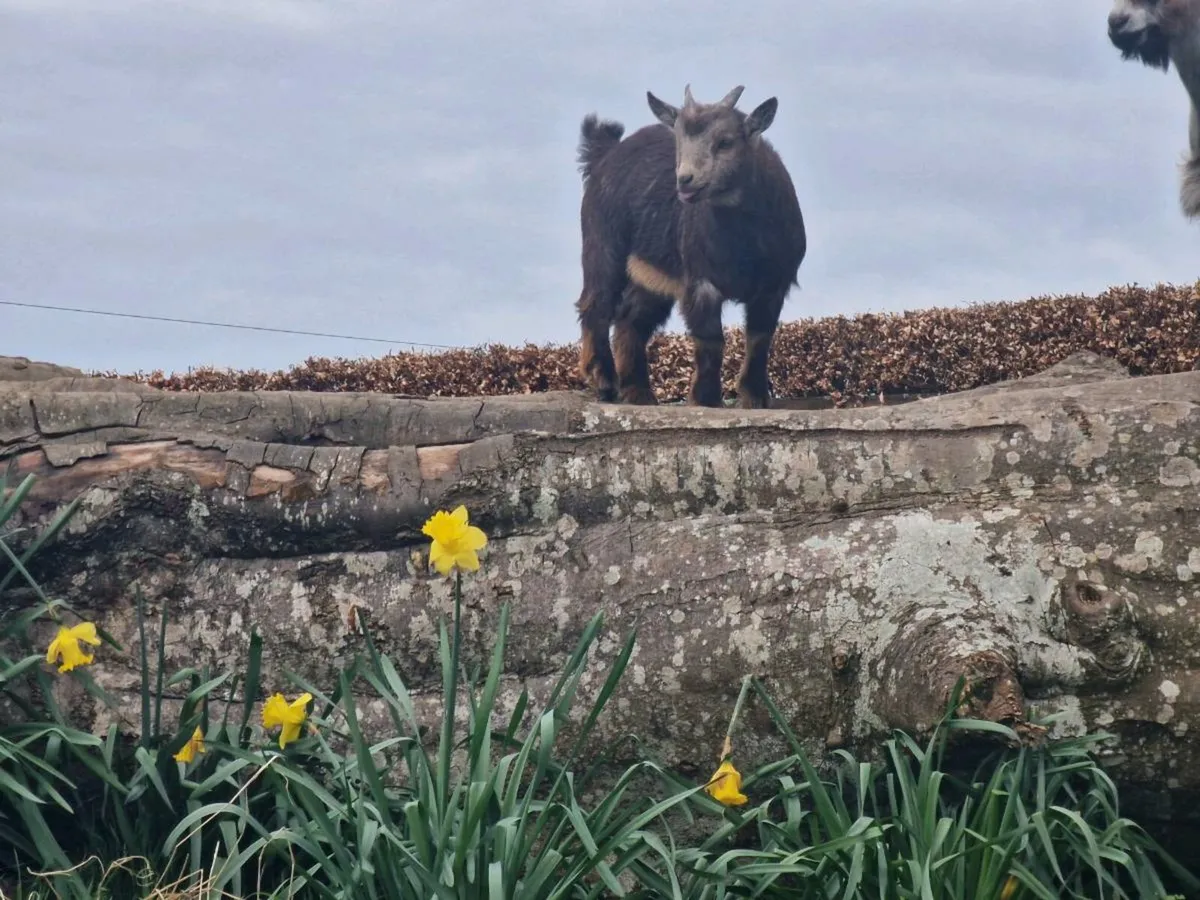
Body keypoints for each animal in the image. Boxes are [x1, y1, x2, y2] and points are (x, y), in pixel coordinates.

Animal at [574, 84, 807, 409]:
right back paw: (606, 382)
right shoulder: (700, 281)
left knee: (630, 319)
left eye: (725, 141)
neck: (743, 241)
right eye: (679, 141)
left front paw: (755, 397)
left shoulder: (773, 285)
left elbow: (760, 338)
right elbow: (710, 339)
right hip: (603, 247)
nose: (685, 180)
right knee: (595, 304)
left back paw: (639, 393)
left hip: (650, 276)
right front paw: (705, 399)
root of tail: (603, 156)